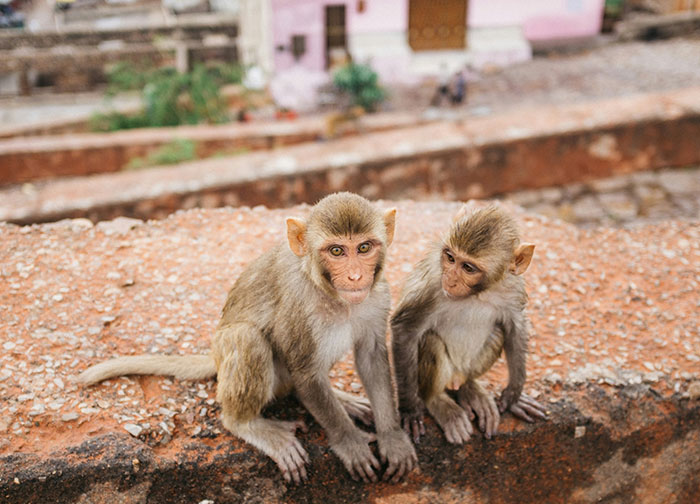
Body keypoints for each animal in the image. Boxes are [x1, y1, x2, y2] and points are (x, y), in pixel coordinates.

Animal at [78, 192, 417, 484]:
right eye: (336, 251)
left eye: (364, 248)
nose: (356, 277)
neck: (334, 297)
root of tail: (214, 357)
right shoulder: (300, 307)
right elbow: (307, 374)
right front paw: (350, 442)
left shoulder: (378, 296)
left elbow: (372, 357)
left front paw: (393, 438)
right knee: (248, 339)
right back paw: (247, 424)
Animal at [390, 203, 547, 445]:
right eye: (450, 257)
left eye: (468, 268)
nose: (450, 279)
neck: (478, 293)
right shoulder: (431, 286)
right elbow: (405, 330)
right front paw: (410, 410)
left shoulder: (512, 287)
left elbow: (515, 327)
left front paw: (514, 395)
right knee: (431, 342)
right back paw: (439, 403)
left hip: (467, 368)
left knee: (497, 333)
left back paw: (470, 390)